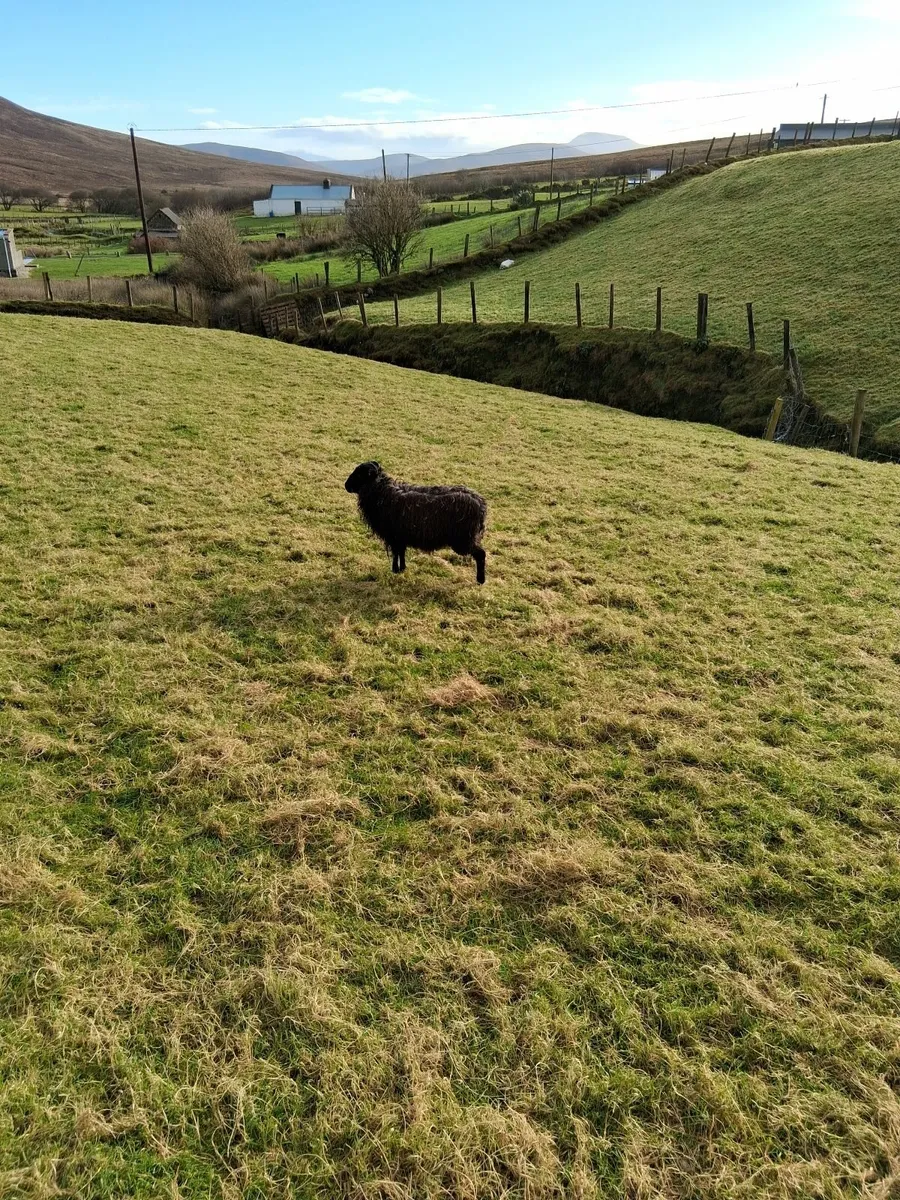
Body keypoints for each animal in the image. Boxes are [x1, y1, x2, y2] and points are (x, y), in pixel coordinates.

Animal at [344, 461, 488, 584]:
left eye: (359, 474)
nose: (346, 485)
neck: (381, 492)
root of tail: (481, 504)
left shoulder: (393, 536)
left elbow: (396, 553)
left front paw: (394, 570)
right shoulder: (400, 536)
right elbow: (401, 552)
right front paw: (402, 569)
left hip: (464, 539)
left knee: (481, 554)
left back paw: (480, 580)